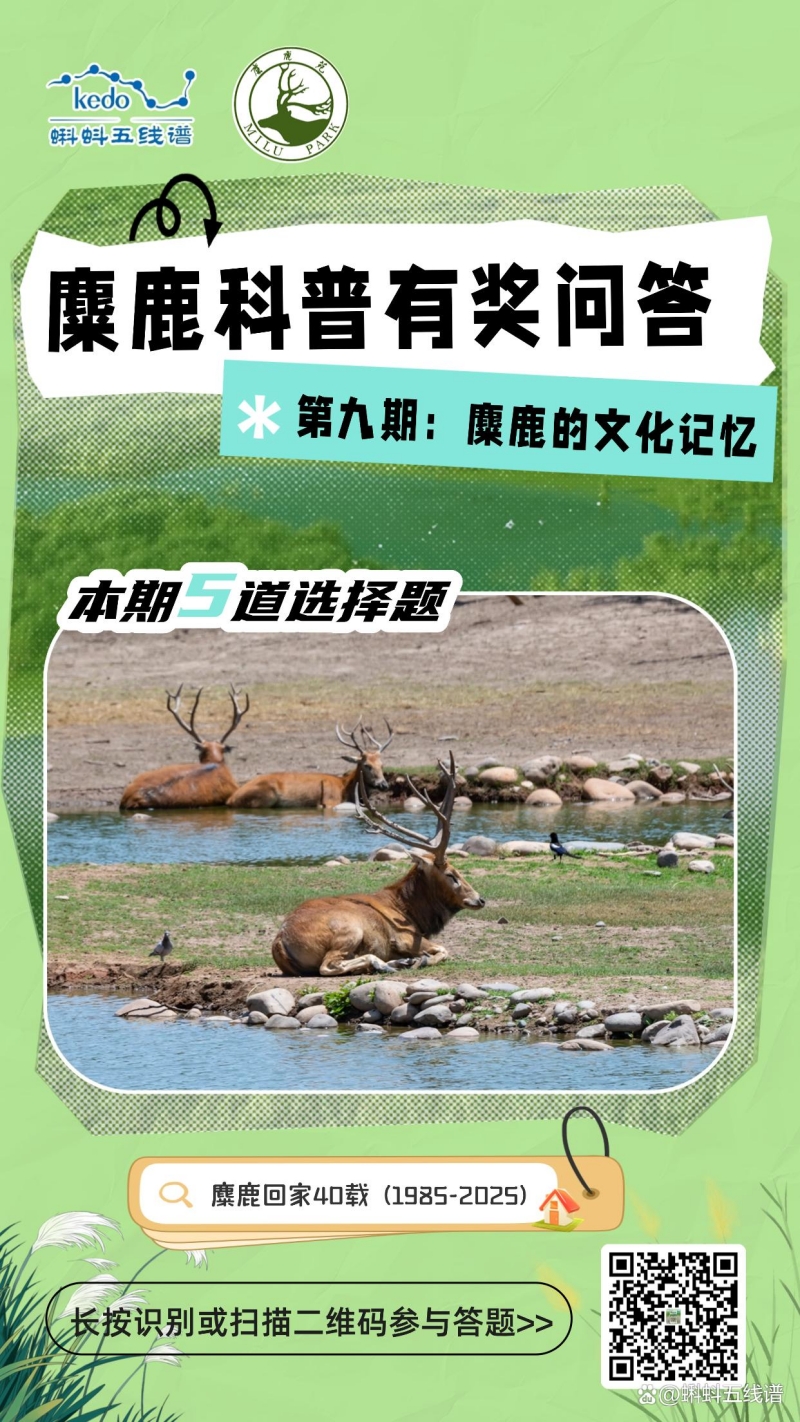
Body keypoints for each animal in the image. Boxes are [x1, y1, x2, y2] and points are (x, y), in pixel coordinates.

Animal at [227, 717, 393, 810]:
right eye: (367, 765)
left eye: (382, 764)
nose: (384, 785)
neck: (344, 787)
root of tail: (231, 799)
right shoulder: (329, 801)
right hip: (265, 797)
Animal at [271, 754, 486, 976]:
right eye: (451, 874)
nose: (480, 899)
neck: (410, 912)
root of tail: (279, 942)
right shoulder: (406, 938)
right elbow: (444, 950)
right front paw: (420, 960)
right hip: (350, 929)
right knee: (328, 966)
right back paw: (387, 964)